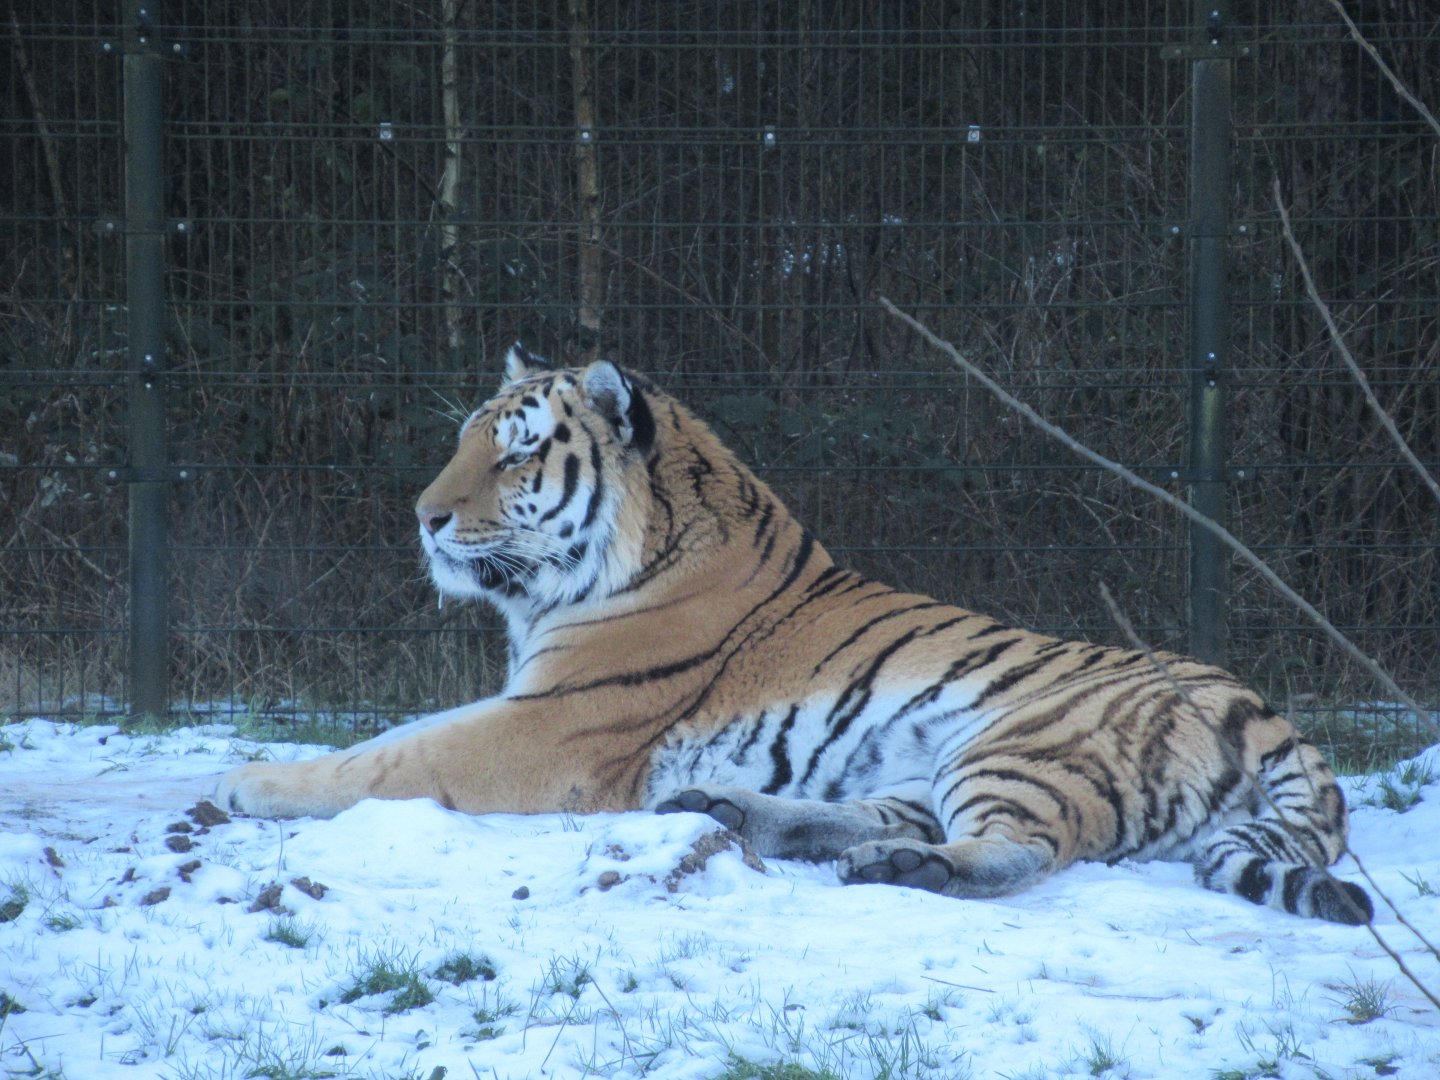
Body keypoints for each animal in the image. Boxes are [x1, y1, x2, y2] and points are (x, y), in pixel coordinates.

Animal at [215, 343, 1372, 924]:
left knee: (1021, 851)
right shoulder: (526, 710)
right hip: (929, 760)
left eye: (515, 452)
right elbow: (388, 740)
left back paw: (904, 870)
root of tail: (1266, 711)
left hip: (1021, 745)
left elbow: (383, 758)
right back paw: (722, 806)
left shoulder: (540, 731)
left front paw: (245, 781)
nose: (422, 516)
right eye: (464, 441)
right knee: (867, 815)